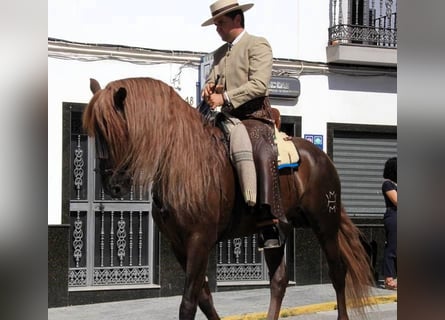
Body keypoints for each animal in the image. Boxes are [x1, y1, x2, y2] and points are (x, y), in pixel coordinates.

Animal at [82, 77, 372, 320]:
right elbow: (203, 298)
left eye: (117, 130)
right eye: (96, 132)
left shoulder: (200, 240)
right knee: (279, 280)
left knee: (337, 272)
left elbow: (188, 303)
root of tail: (320, 157)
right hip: (276, 230)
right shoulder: (178, 244)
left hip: (325, 224)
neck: (185, 161)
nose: (113, 186)